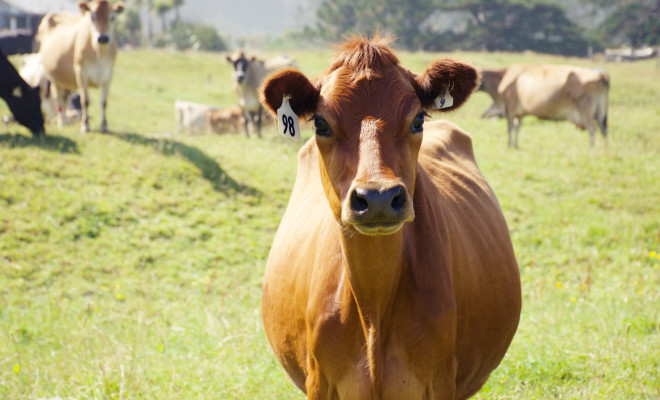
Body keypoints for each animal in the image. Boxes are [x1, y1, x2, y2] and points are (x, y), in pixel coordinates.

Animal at [36, 0, 125, 134]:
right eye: (92, 17)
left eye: (112, 17)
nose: (103, 38)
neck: (99, 53)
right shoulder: (81, 73)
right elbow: (85, 101)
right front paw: (85, 126)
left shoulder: (109, 74)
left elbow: (104, 101)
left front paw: (104, 126)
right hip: (53, 78)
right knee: (58, 99)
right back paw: (62, 122)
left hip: (66, 80)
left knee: (65, 97)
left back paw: (67, 120)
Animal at [258, 35, 520, 400]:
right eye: (321, 124)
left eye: (418, 120)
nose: (378, 197)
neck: (373, 308)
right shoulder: (318, 381)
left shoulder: (441, 380)